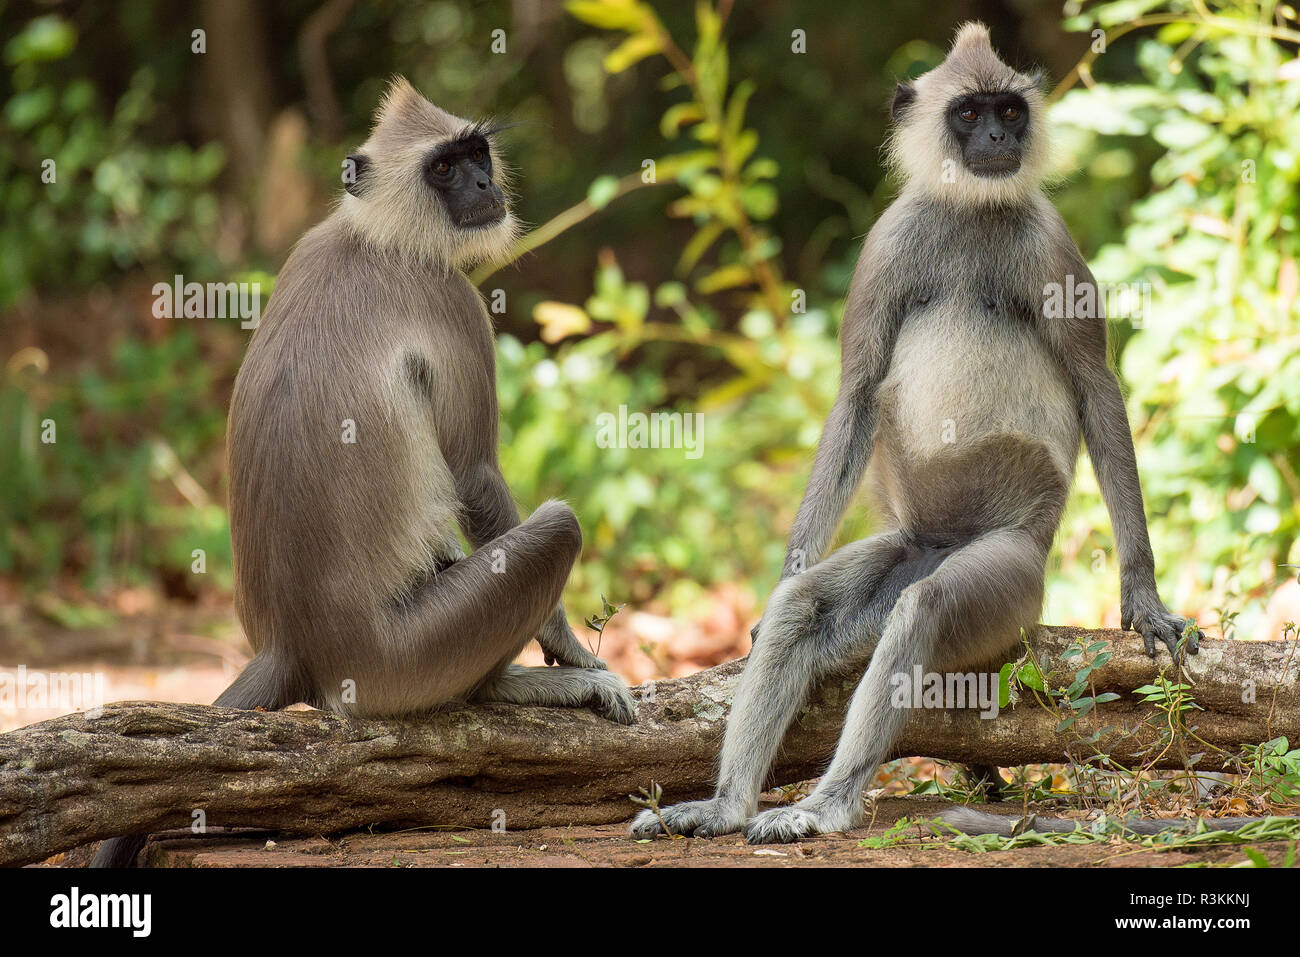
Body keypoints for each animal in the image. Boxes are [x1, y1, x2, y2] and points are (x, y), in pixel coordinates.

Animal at [92, 76, 634, 868]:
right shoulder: (450, 298)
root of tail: (297, 642)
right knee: (555, 528)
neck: (374, 233)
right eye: (444, 169)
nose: (483, 185)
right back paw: (505, 688)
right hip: (402, 657)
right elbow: (475, 474)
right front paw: (570, 655)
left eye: (475, 156)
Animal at [629, 24, 1196, 842]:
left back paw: (824, 806)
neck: (970, 209)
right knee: (804, 609)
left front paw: (1144, 599)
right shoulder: (890, 238)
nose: (996, 138)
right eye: (968, 114)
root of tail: (941, 543)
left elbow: (1096, 386)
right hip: (905, 546)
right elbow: (858, 390)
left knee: (924, 609)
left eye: (1009, 110)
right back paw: (729, 804)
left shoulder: (1050, 242)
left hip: (1013, 575)